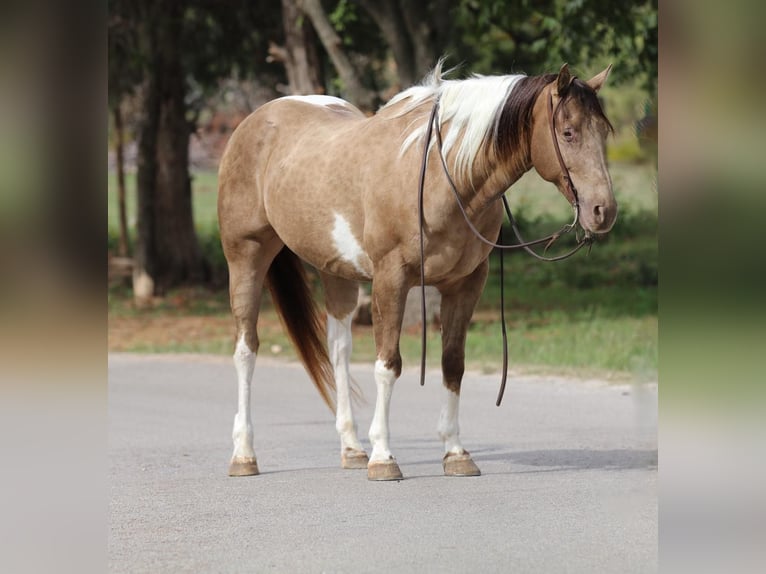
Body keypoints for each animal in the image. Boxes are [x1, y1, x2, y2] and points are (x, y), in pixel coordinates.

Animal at [218, 62, 616, 482]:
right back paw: (244, 454)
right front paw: (383, 457)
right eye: (568, 132)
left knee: (339, 350)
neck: (445, 177)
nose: (603, 211)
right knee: (246, 349)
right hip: (246, 256)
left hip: (337, 271)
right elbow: (388, 364)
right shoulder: (391, 279)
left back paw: (351, 448)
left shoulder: (465, 284)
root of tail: (256, 120)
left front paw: (455, 452)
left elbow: (453, 364)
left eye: (603, 131)